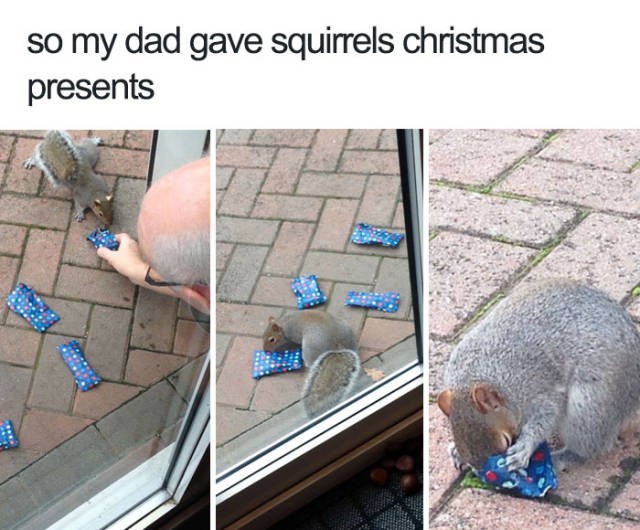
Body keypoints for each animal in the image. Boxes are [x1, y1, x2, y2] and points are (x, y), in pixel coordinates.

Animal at [437, 279, 640, 472]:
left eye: (506, 442)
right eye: (458, 437)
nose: (483, 471)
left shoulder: (538, 388)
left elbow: (546, 416)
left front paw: (525, 447)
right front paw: (455, 452)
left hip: (591, 407)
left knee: (590, 446)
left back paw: (561, 457)